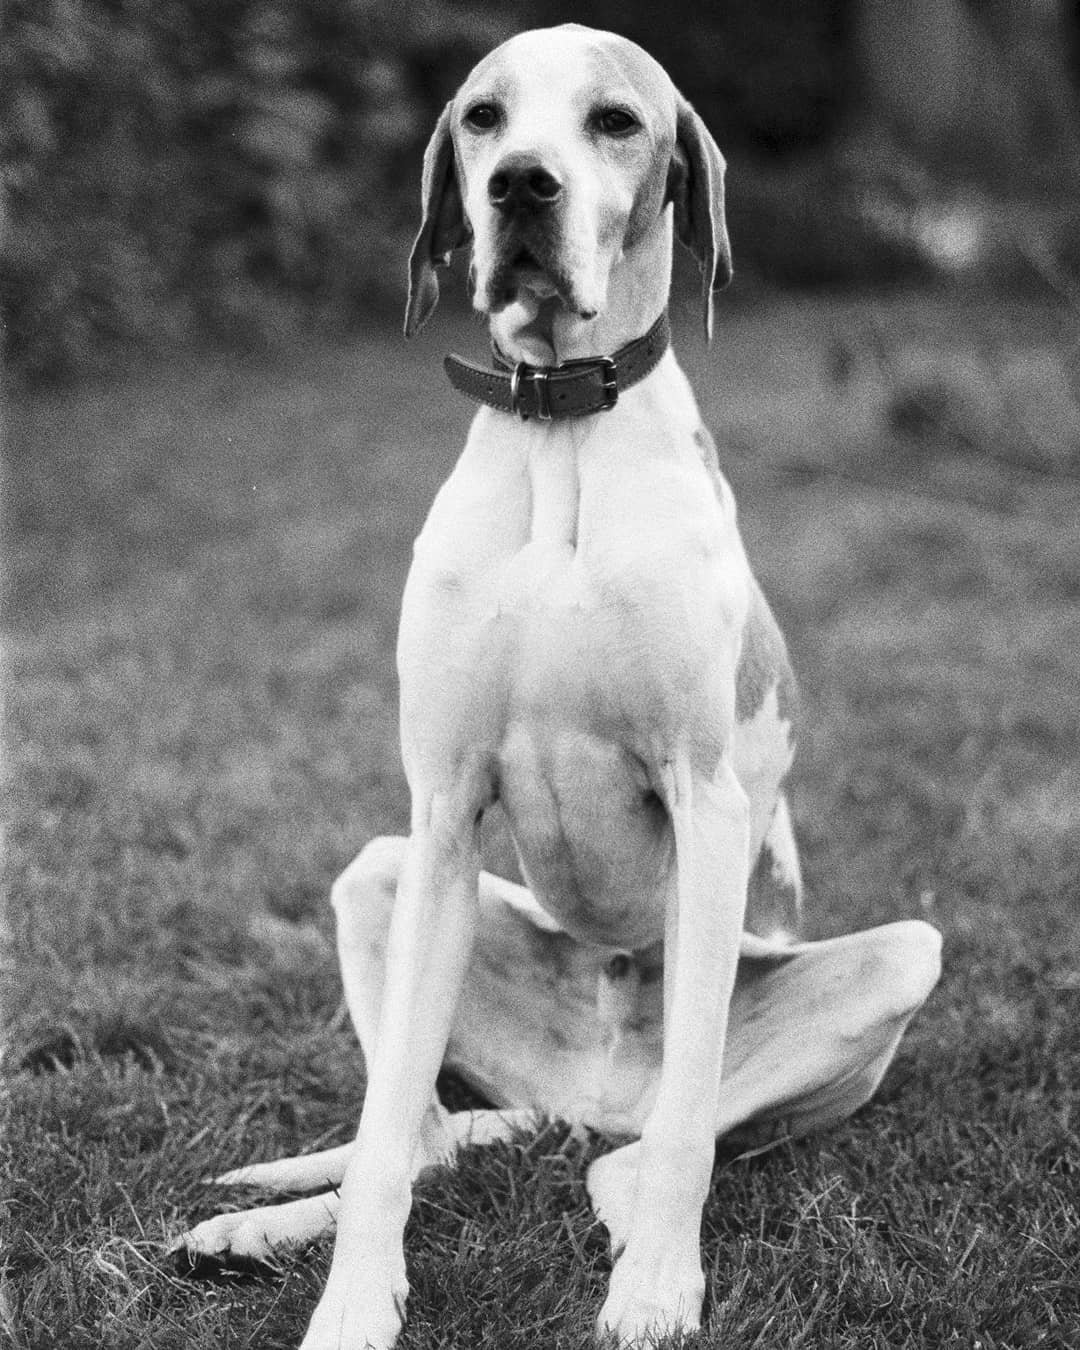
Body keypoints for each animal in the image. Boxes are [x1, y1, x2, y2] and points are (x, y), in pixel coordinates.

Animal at [175, 23, 934, 1350]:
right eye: (483, 116)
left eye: (616, 122)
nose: (520, 186)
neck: (563, 431)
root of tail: (586, 1091)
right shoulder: (438, 815)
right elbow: (386, 1137)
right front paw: (352, 1306)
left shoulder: (709, 804)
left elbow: (687, 1131)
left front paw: (657, 1290)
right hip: (379, 884)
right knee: (427, 1133)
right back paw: (260, 1231)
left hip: (900, 960)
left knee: (649, 1143)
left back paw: (630, 1215)